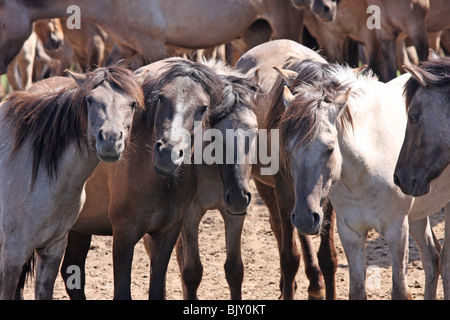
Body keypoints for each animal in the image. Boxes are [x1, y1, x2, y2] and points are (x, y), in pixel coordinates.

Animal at [236, 40, 338, 300]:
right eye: (287, 145)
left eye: (330, 148)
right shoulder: (282, 191)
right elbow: (289, 257)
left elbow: (328, 257)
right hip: (266, 186)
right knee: (280, 229)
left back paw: (315, 284)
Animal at [278, 61, 446, 298]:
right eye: (288, 150)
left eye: (329, 149)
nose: (304, 219)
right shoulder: (351, 233)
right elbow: (357, 290)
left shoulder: (396, 230)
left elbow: (400, 290)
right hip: (417, 215)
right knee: (432, 259)